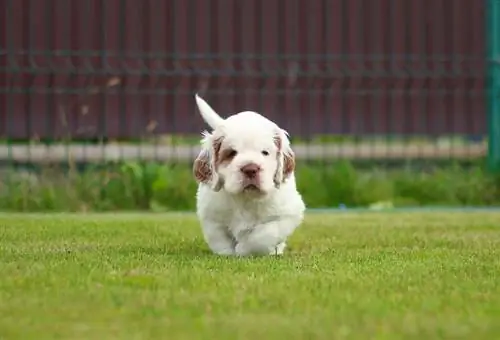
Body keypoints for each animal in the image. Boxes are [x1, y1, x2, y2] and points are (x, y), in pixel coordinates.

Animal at [193, 93, 306, 255]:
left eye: (265, 152)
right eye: (231, 153)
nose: (250, 169)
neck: (246, 198)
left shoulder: (288, 214)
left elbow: (263, 235)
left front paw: (244, 249)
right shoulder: (211, 215)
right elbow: (219, 239)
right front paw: (228, 253)